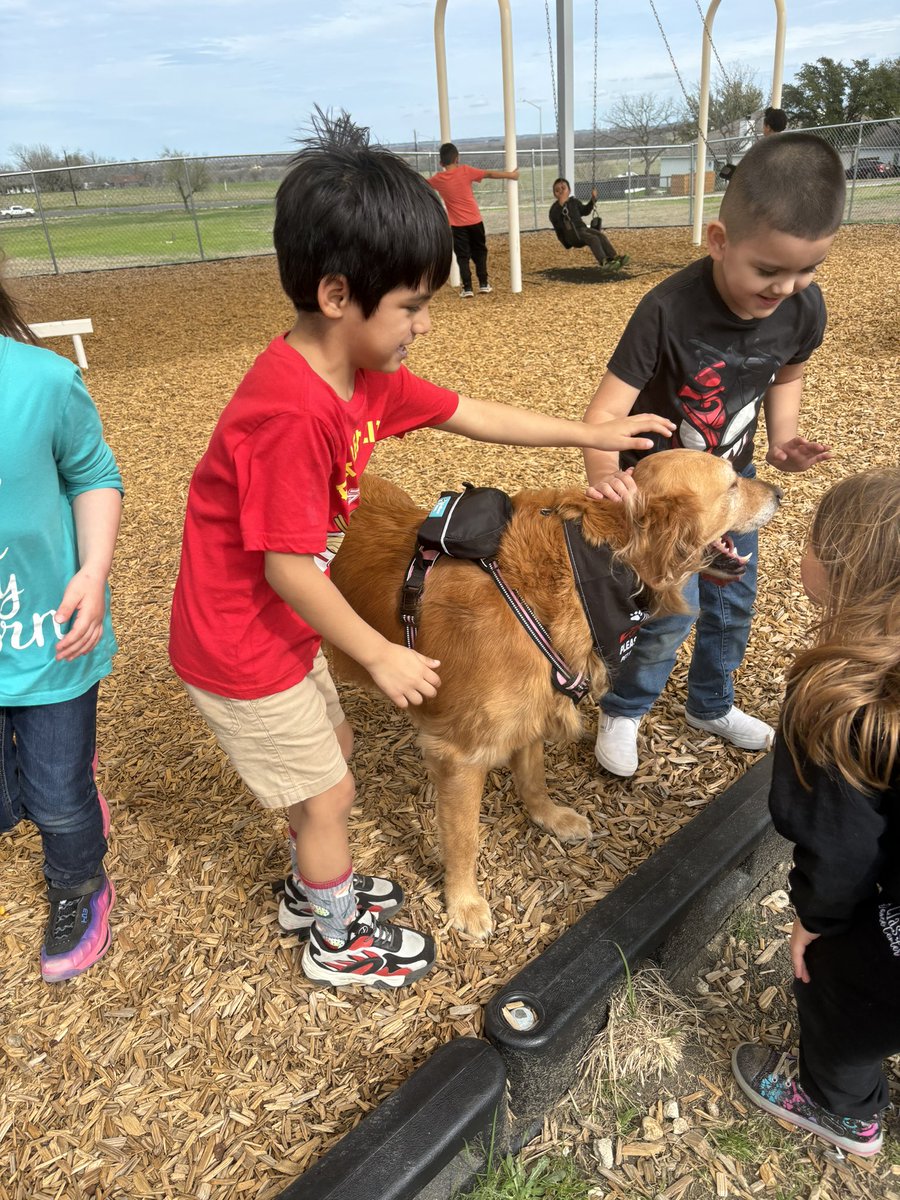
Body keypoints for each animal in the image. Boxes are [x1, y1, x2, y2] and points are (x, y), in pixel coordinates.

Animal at [328, 451, 782, 936]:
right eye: (732, 484)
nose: (779, 491)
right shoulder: (459, 755)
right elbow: (464, 836)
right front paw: (464, 902)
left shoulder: (533, 709)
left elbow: (533, 776)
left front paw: (550, 817)